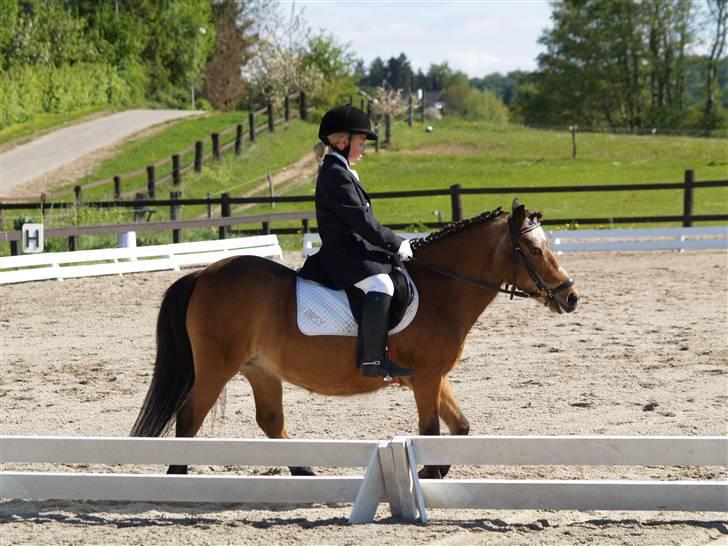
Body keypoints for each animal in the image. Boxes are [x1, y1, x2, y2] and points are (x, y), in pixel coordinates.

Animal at [130, 199, 579, 479]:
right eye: (533, 250)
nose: (570, 297)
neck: (441, 289)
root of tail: (203, 274)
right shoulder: (427, 378)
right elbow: (430, 431)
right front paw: (428, 473)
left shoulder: (432, 376)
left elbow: (461, 427)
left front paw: (434, 470)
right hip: (216, 367)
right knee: (189, 418)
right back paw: (176, 476)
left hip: (260, 369)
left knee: (271, 422)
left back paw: (305, 472)